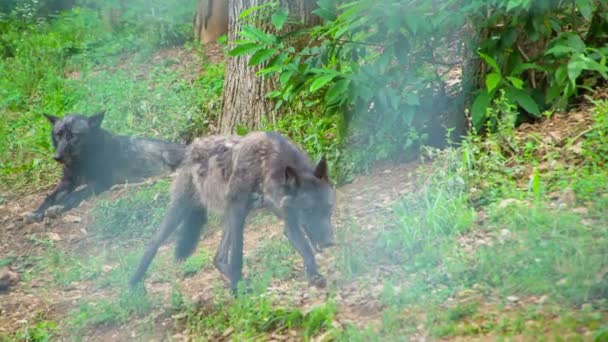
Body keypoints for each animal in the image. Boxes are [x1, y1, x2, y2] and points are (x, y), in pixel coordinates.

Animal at [28, 110, 185, 222]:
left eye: (73, 135)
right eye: (58, 135)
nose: (57, 157)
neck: (81, 163)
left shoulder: (99, 181)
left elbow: (75, 194)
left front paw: (59, 206)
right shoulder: (67, 182)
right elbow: (50, 197)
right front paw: (37, 212)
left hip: (168, 156)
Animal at [129, 131, 338, 294]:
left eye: (329, 208)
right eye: (308, 210)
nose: (329, 242)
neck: (266, 164)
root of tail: (191, 147)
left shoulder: (288, 220)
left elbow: (306, 249)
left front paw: (314, 275)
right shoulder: (239, 210)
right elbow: (237, 255)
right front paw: (237, 291)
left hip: (231, 216)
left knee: (217, 258)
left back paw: (241, 280)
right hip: (184, 210)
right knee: (153, 244)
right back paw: (133, 286)